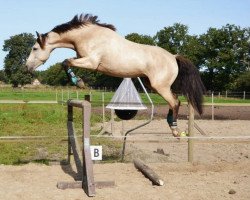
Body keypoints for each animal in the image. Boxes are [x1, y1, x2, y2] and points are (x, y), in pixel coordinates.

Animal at [25, 13, 205, 137]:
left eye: (34, 48)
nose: (27, 67)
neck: (88, 36)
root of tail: (173, 57)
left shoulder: (91, 62)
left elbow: (65, 62)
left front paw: (78, 82)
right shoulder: (83, 59)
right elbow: (67, 62)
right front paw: (79, 81)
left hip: (160, 86)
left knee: (175, 101)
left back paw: (174, 129)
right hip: (150, 84)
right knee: (174, 101)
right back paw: (171, 124)